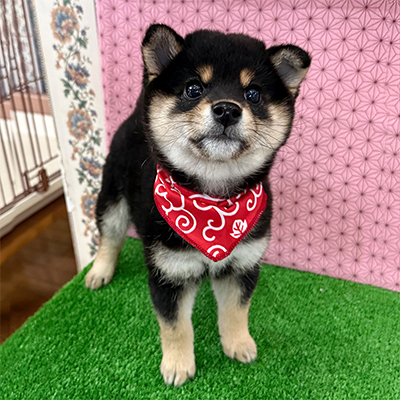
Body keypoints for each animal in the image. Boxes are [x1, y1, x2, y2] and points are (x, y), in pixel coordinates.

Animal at [85, 24, 310, 387]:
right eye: (193, 89)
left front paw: (238, 343)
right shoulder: (168, 273)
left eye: (253, 94)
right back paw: (100, 271)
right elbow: (175, 326)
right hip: (113, 198)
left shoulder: (243, 265)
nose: (227, 109)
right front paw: (178, 364)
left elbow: (236, 311)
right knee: (110, 236)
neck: (213, 203)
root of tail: (135, 115)